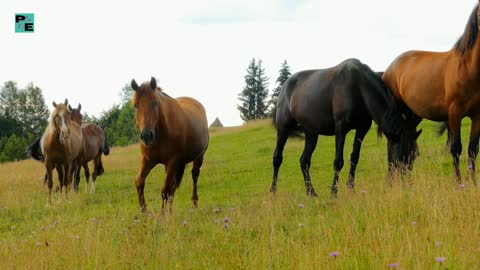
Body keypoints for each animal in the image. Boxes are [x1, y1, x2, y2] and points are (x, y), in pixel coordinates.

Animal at [131, 77, 208, 212]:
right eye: (136, 105)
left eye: (155, 103)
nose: (147, 136)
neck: (160, 135)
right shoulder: (148, 160)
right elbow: (139, 182)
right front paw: (143, 210)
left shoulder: (173, 161)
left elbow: (165, 190)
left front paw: (163, 214)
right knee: (173, 185)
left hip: (198, 157)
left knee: (194, 176)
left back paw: (194, 202)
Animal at [270, 58, 420, 196]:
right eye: (400, 157)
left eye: (414, 156)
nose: (407, 186)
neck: (358, 87)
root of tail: (285, 85)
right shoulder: (341, 128)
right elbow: (338, 161)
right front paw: (334, 192)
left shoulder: (362, 129)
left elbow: (354, 158)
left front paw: (351, 188)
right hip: (283, 128)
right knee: (277, 157)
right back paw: (273, 191)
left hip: (311, 133)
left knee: (304, 161)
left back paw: (311, 192)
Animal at [384, 2, 480, 184]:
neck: (467, 67)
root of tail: (390, 68)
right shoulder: (454, 113)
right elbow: (456, 148)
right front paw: (459, 182)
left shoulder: (478, 115)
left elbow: (473, 149)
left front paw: (472, 181)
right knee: (393, 143)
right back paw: (393, 178)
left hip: (411, 116)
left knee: (407, 144)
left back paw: (406, 178)